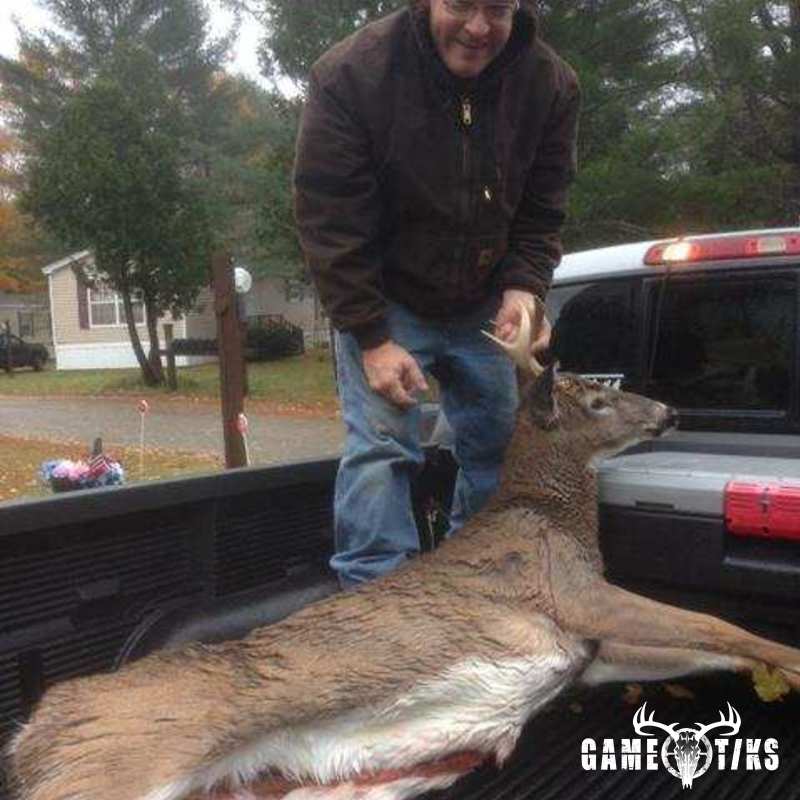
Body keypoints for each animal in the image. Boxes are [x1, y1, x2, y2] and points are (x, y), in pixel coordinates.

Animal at [8, 301, 800, 800]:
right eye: (598, 400)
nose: (670, 410)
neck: (550, 514)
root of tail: (28, 736)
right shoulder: (574, 592)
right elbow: (717, 623)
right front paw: (793, 660)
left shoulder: (590, 654)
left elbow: (706, 648)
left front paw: (775, 676)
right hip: (108, 768)